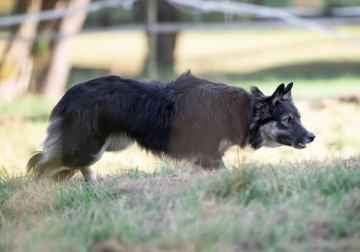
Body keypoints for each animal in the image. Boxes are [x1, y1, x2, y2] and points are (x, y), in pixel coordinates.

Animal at [27, 71, 316, 181]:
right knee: (42, 167)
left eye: (299, 117)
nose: (313, 136)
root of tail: (69, 93)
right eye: (287, 120)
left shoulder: (202, 159)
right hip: (86, 146)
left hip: (103, 146)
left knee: (78, 167)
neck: (242, 110)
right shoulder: (209, 156)